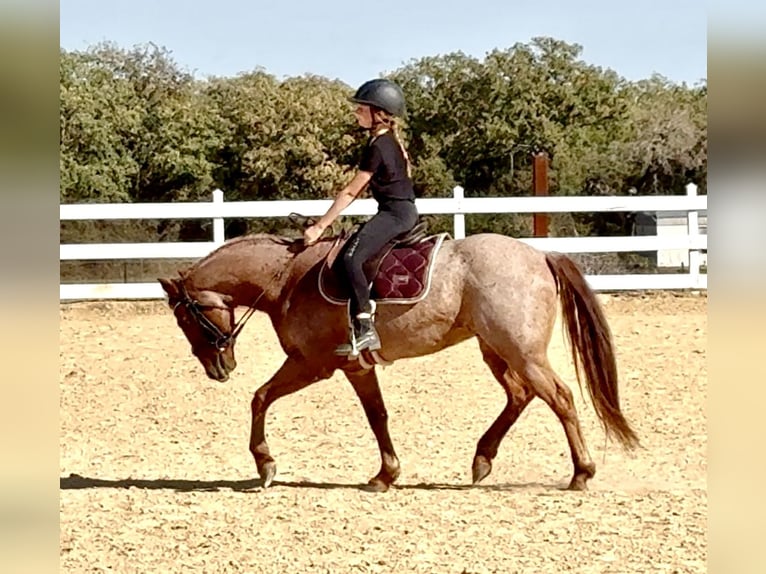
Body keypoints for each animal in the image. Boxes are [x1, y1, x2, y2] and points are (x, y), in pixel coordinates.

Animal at [157, 225, 639, 493]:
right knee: (521, 396)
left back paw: (581, 473)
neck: (288, 279)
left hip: (521, 351)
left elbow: (261, 398)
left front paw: (266, 464)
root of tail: (538, 254)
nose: (217, 369)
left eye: (185, 317)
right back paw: (482, 459)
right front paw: (386, 475)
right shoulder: (352, 367)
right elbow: (378, 416)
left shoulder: (315, 364)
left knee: (559, 398)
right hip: (496, 350)